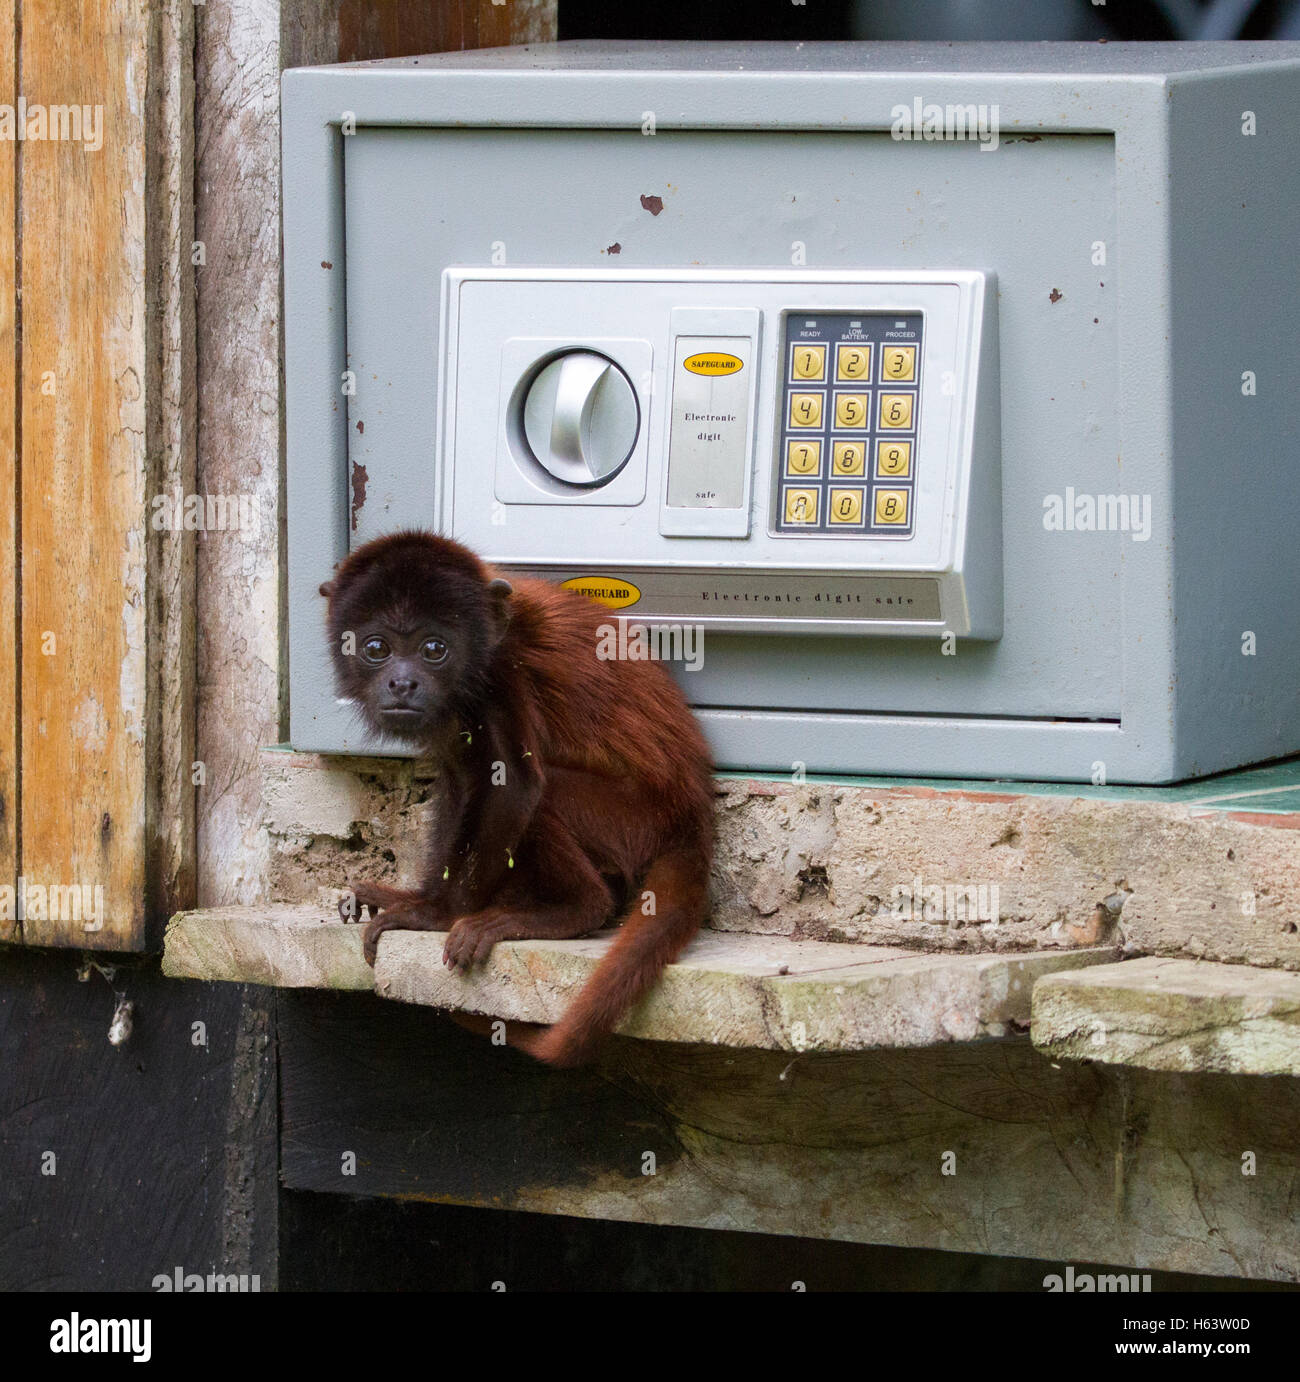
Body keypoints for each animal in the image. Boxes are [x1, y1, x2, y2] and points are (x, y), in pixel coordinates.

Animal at [319, 530, 712, 1066]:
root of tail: (691, 812)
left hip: (633, 820)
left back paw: (574, 909)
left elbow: (512, 785)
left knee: (546, 800)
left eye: (434, 648)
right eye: (376, 647)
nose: (402, 682)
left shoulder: (503, 671)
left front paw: (434, 915)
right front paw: (415, 897)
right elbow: (460, 782)